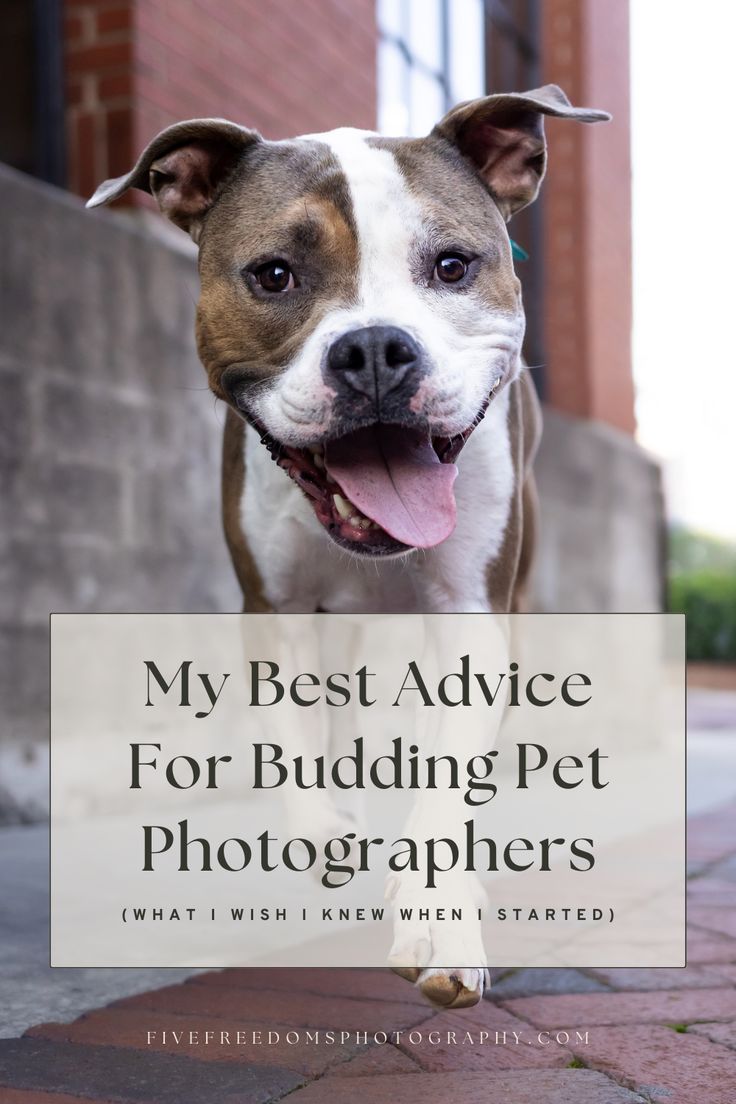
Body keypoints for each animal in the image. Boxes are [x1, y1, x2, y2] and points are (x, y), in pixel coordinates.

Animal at [90, 83, 609, 1002]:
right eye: (273, 274)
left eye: (452, 265)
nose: (373, 349)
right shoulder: (274, 609)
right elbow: (295, 740)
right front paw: (326, 830)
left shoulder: (473, 614)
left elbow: (448, 776)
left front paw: (440, 919)